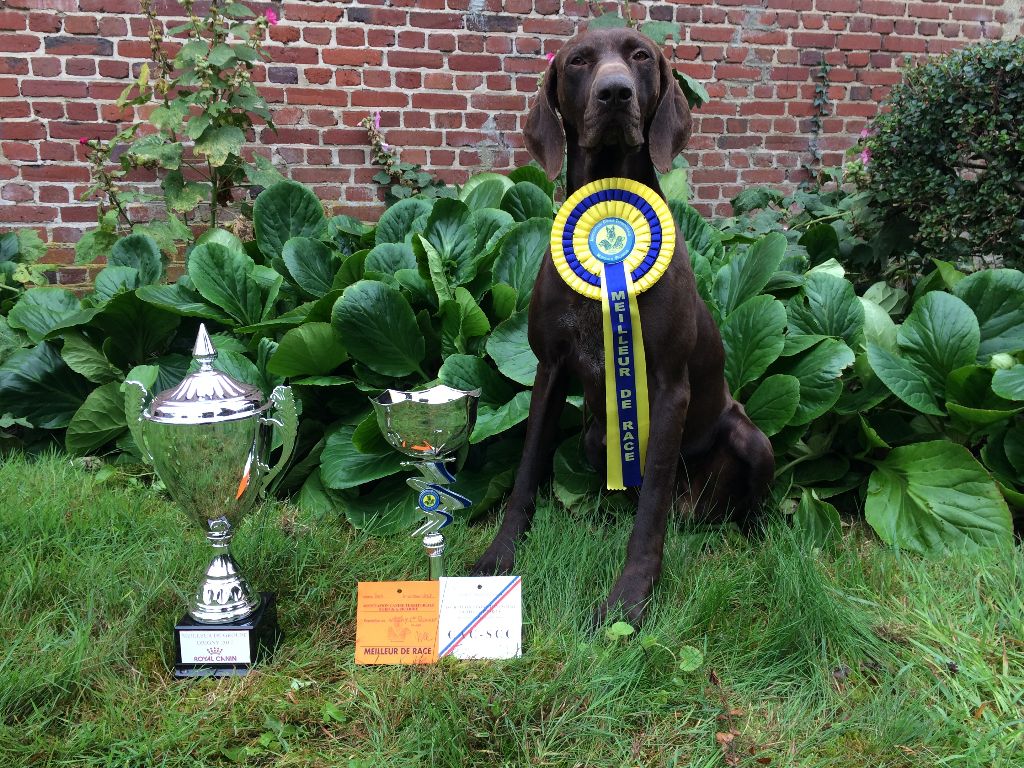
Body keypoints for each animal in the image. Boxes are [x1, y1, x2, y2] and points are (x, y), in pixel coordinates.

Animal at [475, 28, 770, 626]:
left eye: (639, 56)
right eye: (578, 61)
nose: (614, 93)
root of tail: (694, 509)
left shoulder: (669, 385)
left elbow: (652, 502)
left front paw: (630, 597)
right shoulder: (549, 369)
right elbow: (526, 470)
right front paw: (500, 554)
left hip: (752, 440)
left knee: (726, 509)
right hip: (596, 437)